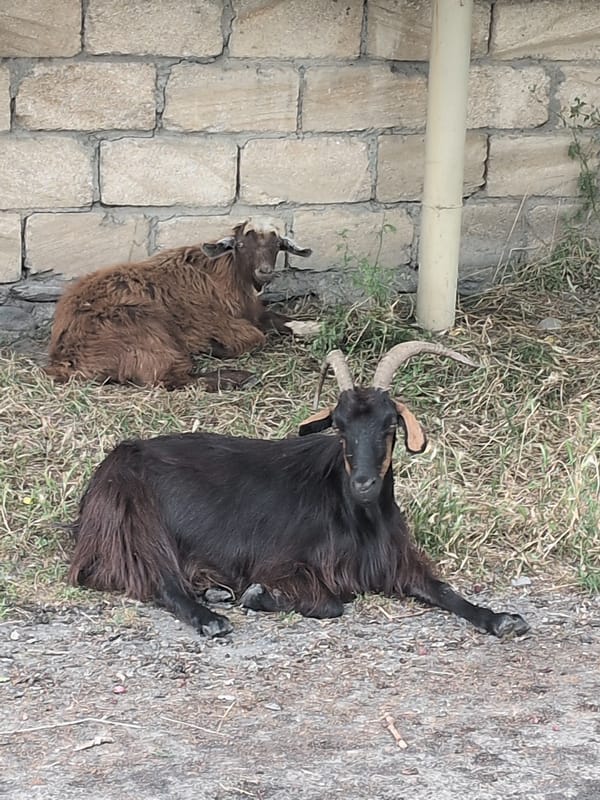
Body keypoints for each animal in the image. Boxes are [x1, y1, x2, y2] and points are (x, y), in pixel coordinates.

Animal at [46, 217, 312, 389]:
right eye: (241, 245)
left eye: (277, 245)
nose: (264, 271)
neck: (226, 274)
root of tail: (64, 357)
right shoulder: (219, 323)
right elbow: (257, 338)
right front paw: (216, 347)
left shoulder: (253, 312)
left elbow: (283, 321)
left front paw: (311, 327)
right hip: (145, 332)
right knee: (170, 378)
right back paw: (239, 377)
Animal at [68, 342, 530, 639]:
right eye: (339, 428)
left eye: (389, 426)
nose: (363, 484)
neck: (357, 516)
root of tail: (115, 459)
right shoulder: (282, 561)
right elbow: (331, 604)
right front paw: (258, 596)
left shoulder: (394, 563)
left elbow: (443, 589)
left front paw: (502, 619)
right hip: (138, 522)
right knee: (159, 580)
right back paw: (211, 618)